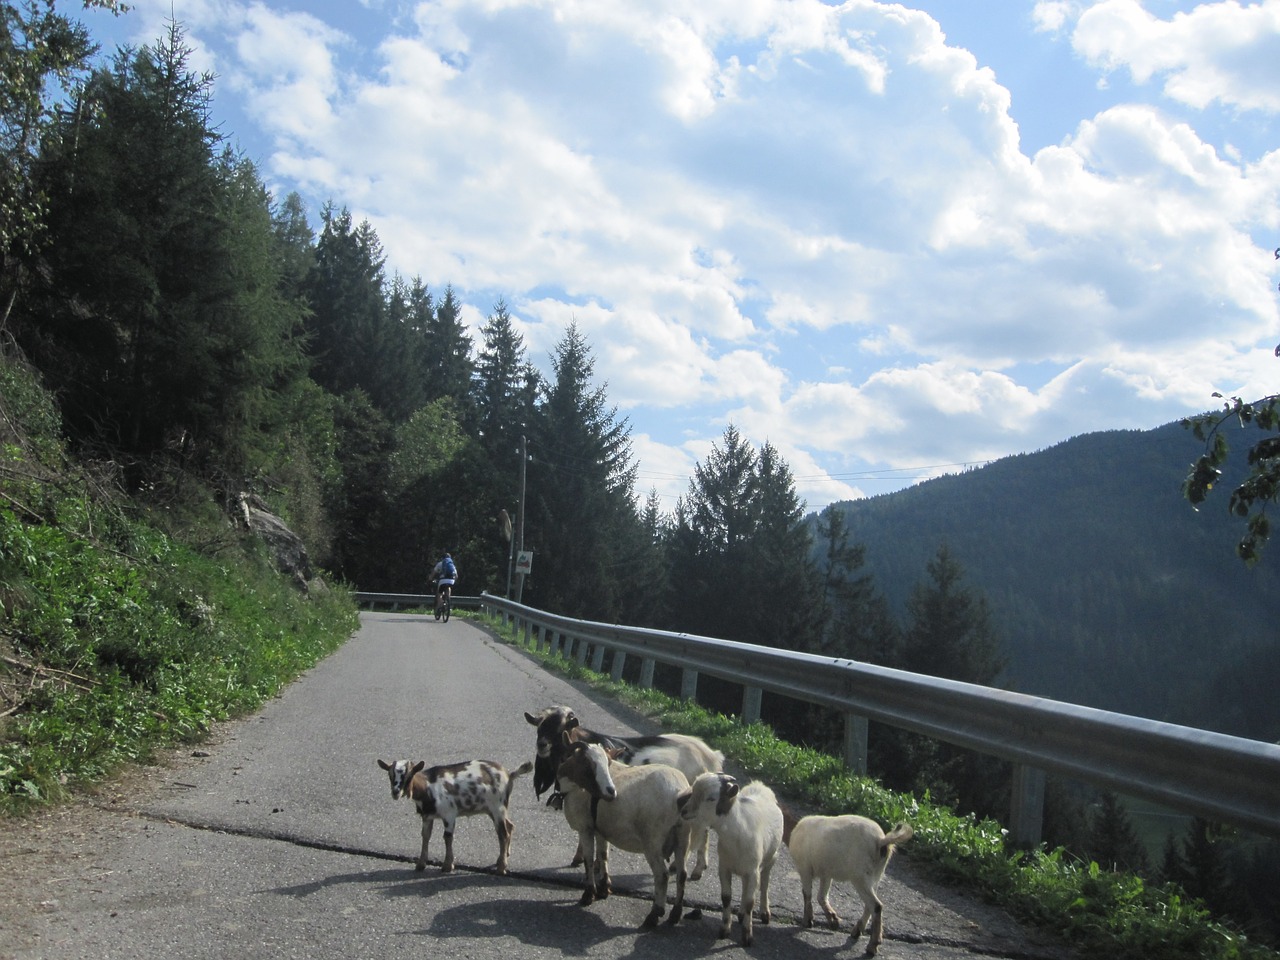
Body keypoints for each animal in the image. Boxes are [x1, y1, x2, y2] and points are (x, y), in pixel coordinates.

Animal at [381, 757, 537, 880]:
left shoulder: (449, 814)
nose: (395, 792)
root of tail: (509, 775)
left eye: (409, 775)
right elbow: (425, 836)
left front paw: (447, 866)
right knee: (509, 826)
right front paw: (420, 864)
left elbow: (447, 837)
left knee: (502, 834)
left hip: (498, 807)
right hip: (493, 809)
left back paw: (501, 868)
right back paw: (504, 857)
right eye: (390, 775)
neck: (428, 787)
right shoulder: (427, 817)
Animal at [519, 706, 721, 880]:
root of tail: (711, 756)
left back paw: (687, 868)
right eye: (540, 727)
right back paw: (698, 869)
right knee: (704, 831)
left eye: (561, 727)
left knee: (699, 832)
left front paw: (591, 863)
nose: (542, 745)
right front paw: (580, 859)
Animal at [552, 737, 691, 931]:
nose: (611, 792)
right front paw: (604, 889)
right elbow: (603, 856)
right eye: (587, 762)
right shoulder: (600, 829)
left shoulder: (586, 828)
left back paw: (653, 916)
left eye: (607, 762)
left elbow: (589, 860)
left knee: (662, 875)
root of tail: (679, 792)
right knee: (682, 874)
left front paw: (588, 895)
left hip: (653, 840)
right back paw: (675, 915)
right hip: (683, 836)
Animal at [675, 773, 783, 947]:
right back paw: (741, 914)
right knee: (745, 887)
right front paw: (725, 930)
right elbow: (726, 898)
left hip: (771, 858)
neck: (735, 831)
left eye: (711, 798)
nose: (684, 810)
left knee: (765, 883)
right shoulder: (724, 867)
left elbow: (750, 902)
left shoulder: (753, 871)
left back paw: (765, 913)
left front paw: (747, 937)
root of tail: (759, 785)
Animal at [783, 814, 916, 957]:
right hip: (875, 876)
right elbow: (821, 896)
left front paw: (807, 921)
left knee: (876, 905)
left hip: (860, 876)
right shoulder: (826, 873)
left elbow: (807, 894)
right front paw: (833, 921)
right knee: (869, 905)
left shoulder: (804, 868)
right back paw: (856, 932)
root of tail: (881, 840)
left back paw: (872, 946)